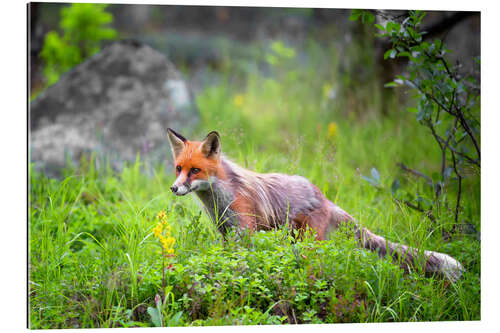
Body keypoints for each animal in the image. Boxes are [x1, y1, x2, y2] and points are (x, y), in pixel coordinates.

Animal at [166, 128, 462, 282]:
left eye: (195, 171)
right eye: (178, 168)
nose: (174, 188)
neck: (220, 198)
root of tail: (325, 197)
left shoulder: (244, 230)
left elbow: (240, 263)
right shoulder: (226, 232)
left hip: (309, 241)